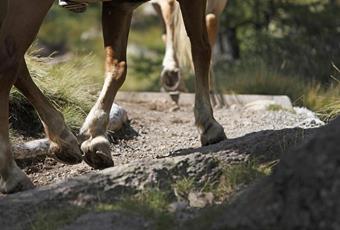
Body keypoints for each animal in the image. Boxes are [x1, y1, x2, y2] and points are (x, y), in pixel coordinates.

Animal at [0, 0, 227, 194]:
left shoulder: (118, 6)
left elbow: (117, 67)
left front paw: (96, 137)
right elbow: (201, 48)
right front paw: (209, 124)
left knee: (18, 65)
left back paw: (63, 140)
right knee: (9, 61)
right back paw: (13, 175)